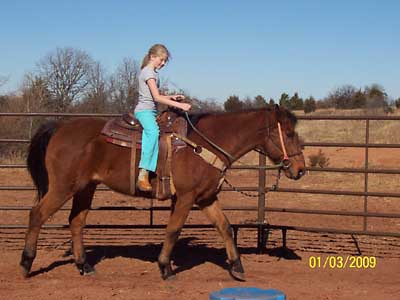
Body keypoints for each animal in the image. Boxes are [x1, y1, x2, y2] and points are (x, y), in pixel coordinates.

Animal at [20, 104, 304, 280]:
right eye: (289, 133)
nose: (300, 169)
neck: (204, 144)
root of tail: (59, 127)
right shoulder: (186, 197)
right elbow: (173, 230)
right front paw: (165, 267)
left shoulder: (206, 198)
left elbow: (224, 227)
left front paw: (237, 267)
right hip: (62, 187)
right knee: (37, 215)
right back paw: (26, 263)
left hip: (85, 188)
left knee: (76, 222)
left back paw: (85, 266)